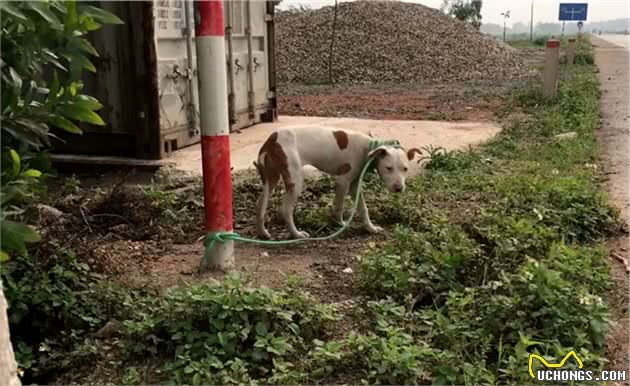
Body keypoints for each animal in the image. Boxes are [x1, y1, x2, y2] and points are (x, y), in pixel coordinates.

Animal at [254, 126, 422, 238]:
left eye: (405, 169)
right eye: (388, 168)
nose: (399, 188)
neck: (368, 148)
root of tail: (272, 140)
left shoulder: (355, 185)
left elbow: (363, 208)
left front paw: (370, 228)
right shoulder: (343, 181)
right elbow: (339, 206)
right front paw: (339, 224)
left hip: (271, 179)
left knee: (260, 205)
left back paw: (263, 233)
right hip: (295, 180)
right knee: (285, 210)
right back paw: (296, 234)